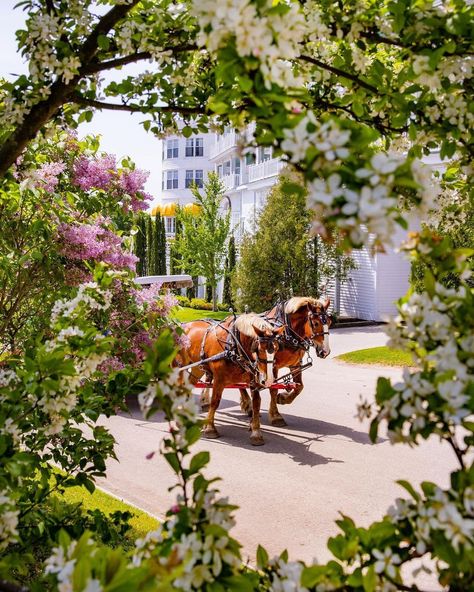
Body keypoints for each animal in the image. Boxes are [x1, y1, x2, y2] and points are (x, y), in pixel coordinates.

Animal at [175, 314, 284, 444]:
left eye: (276, 348)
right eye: (260, 349)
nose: (268, 380)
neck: (233, 345)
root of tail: (182, 325)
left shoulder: (254, 380)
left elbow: (256, 403)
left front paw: (256, 432)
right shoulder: (219, 379)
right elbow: (215, 402)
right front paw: (210, 428)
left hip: (197, 367)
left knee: (186, 388)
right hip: (179, 366)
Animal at [239, 298, 332, 428]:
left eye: (329, 322)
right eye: (316, 323)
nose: (325, 351)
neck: (288, 333)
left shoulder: (295, 364)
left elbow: (299, 386)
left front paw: (283, 399)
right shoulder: (273, 365)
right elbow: (273, 389)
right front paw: (275, 416)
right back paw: (247, 404)